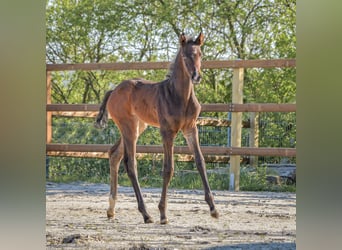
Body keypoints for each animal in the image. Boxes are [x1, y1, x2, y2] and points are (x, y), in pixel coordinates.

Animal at [95, 32, 219, 224]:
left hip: (138, 126)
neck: (180, 96)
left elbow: (200, 162)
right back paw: (146, 213)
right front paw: (163, 213)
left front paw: (213, 209)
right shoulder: (167, 131)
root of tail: (113, 90)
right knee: (130, 163)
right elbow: (168, 168)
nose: (196, 77)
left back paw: (111, 209)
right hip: (128, 127)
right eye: (185, 56)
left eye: (200, 54)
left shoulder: (191, 128)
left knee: (114, 154)